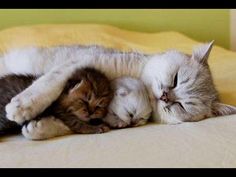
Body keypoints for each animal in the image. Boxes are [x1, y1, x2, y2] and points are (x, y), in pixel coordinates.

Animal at [0, 41, 236, 126]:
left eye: (182, 106)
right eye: (177, 79)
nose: (165, 97)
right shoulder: (84, 62)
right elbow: (50, 82)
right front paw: (23, 106)